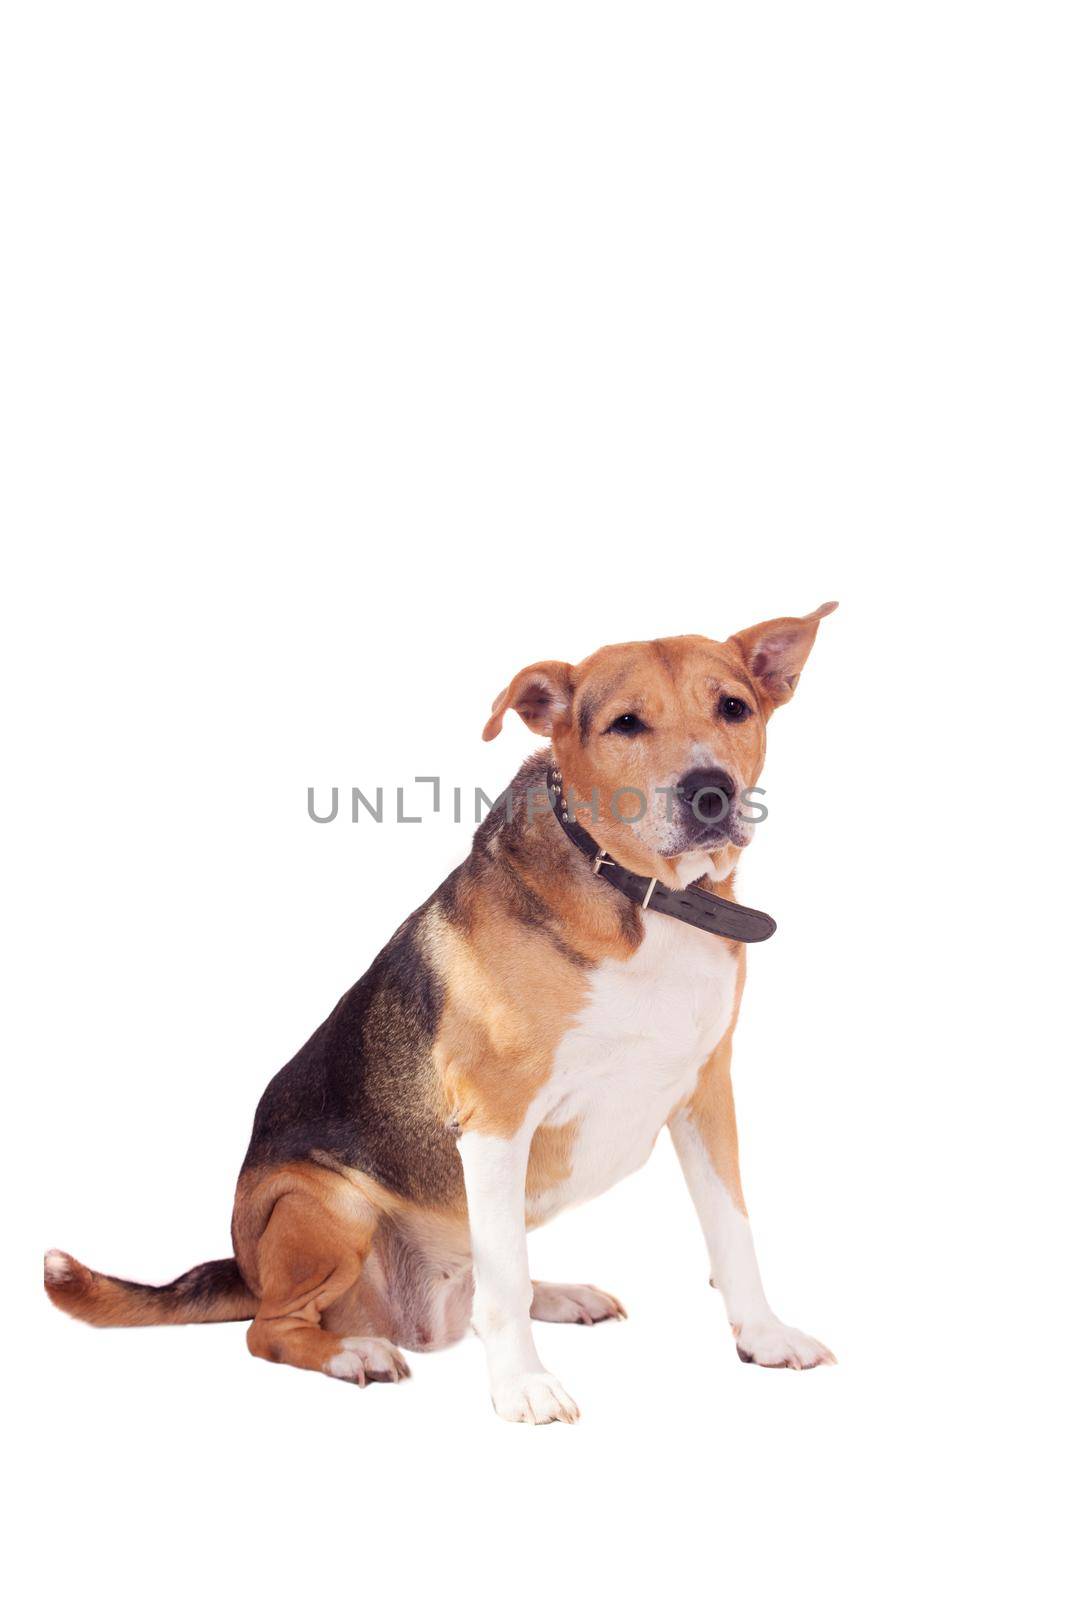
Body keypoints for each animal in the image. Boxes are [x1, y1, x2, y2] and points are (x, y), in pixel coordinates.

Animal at [45, 601, 838, 1427]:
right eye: (625, 723)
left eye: (733, 708)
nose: (709, 793)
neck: (644, 897)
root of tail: (245, 1264)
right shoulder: (494, 1114)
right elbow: (506, 1279)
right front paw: (522, 1385)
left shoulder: (705, 1092)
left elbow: (731, 1230)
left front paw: (764, 1335)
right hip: (323, 1201)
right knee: (272, 1328)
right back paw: (353, 1352)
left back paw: (557, 1294)